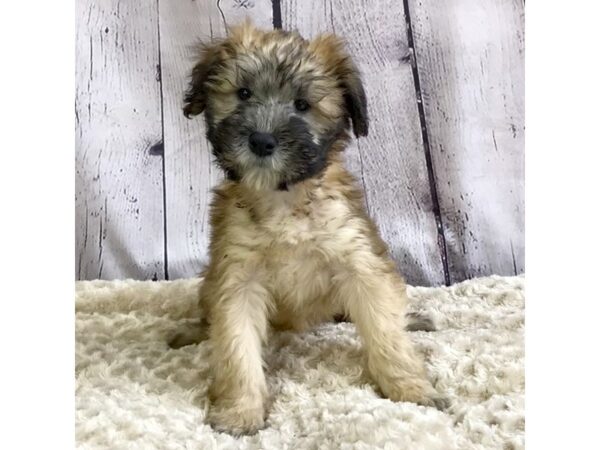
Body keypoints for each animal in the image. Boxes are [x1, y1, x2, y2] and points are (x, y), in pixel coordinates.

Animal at [173, 22, 446, 436]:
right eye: (243, 93)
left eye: (302, 105)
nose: (261, 141)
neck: (284, 200)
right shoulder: (237, 277)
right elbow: (236, 348)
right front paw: (240, 410)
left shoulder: (359, 260)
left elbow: (385, 331)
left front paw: (410, 387)